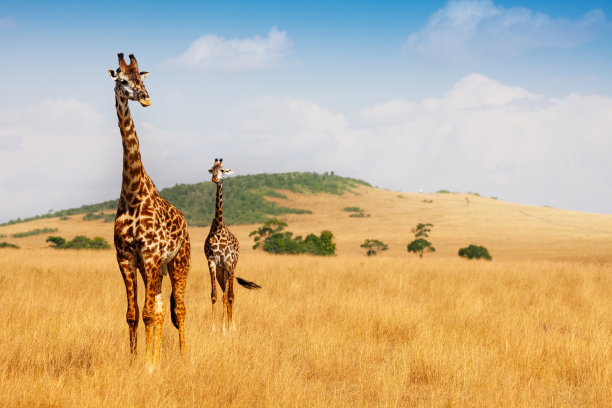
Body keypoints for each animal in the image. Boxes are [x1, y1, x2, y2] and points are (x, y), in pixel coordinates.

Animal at [107, 52, 189, 364]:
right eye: (122, 80)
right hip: (156, 268)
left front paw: (149, 366)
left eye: (140, 79)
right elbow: (133, 314)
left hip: (179, 262)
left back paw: (182, 356)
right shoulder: (126, 257)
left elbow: (147, 313)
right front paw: (136, 360)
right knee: (162, 308)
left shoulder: (151, 255)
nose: (146, 98)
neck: (132, 192)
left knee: (178, 308)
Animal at [206, 158, 260, 334]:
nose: (214, 179)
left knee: (231, 295)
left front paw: (225, 329)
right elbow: (215, 295)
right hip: (222, 272)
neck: (218, 227)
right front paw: (213, 329)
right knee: (225, 292)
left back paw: (232, 327)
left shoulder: (228, 263)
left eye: (223, 170)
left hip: (231, 268)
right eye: (212, 170)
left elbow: (227, 296)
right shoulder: (212, 262)